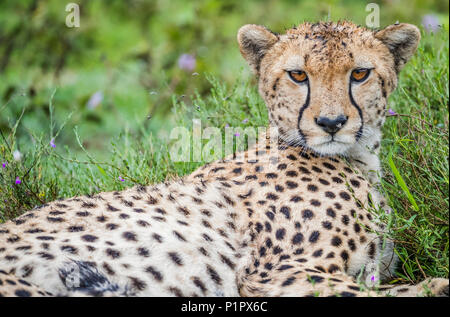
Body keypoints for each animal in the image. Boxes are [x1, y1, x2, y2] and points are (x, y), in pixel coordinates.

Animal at [0, 21, 448, 296]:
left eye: (359, 74)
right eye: (297, 75)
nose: (332, 122)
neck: (358, 159)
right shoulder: (277, 274)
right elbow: (379, 292)